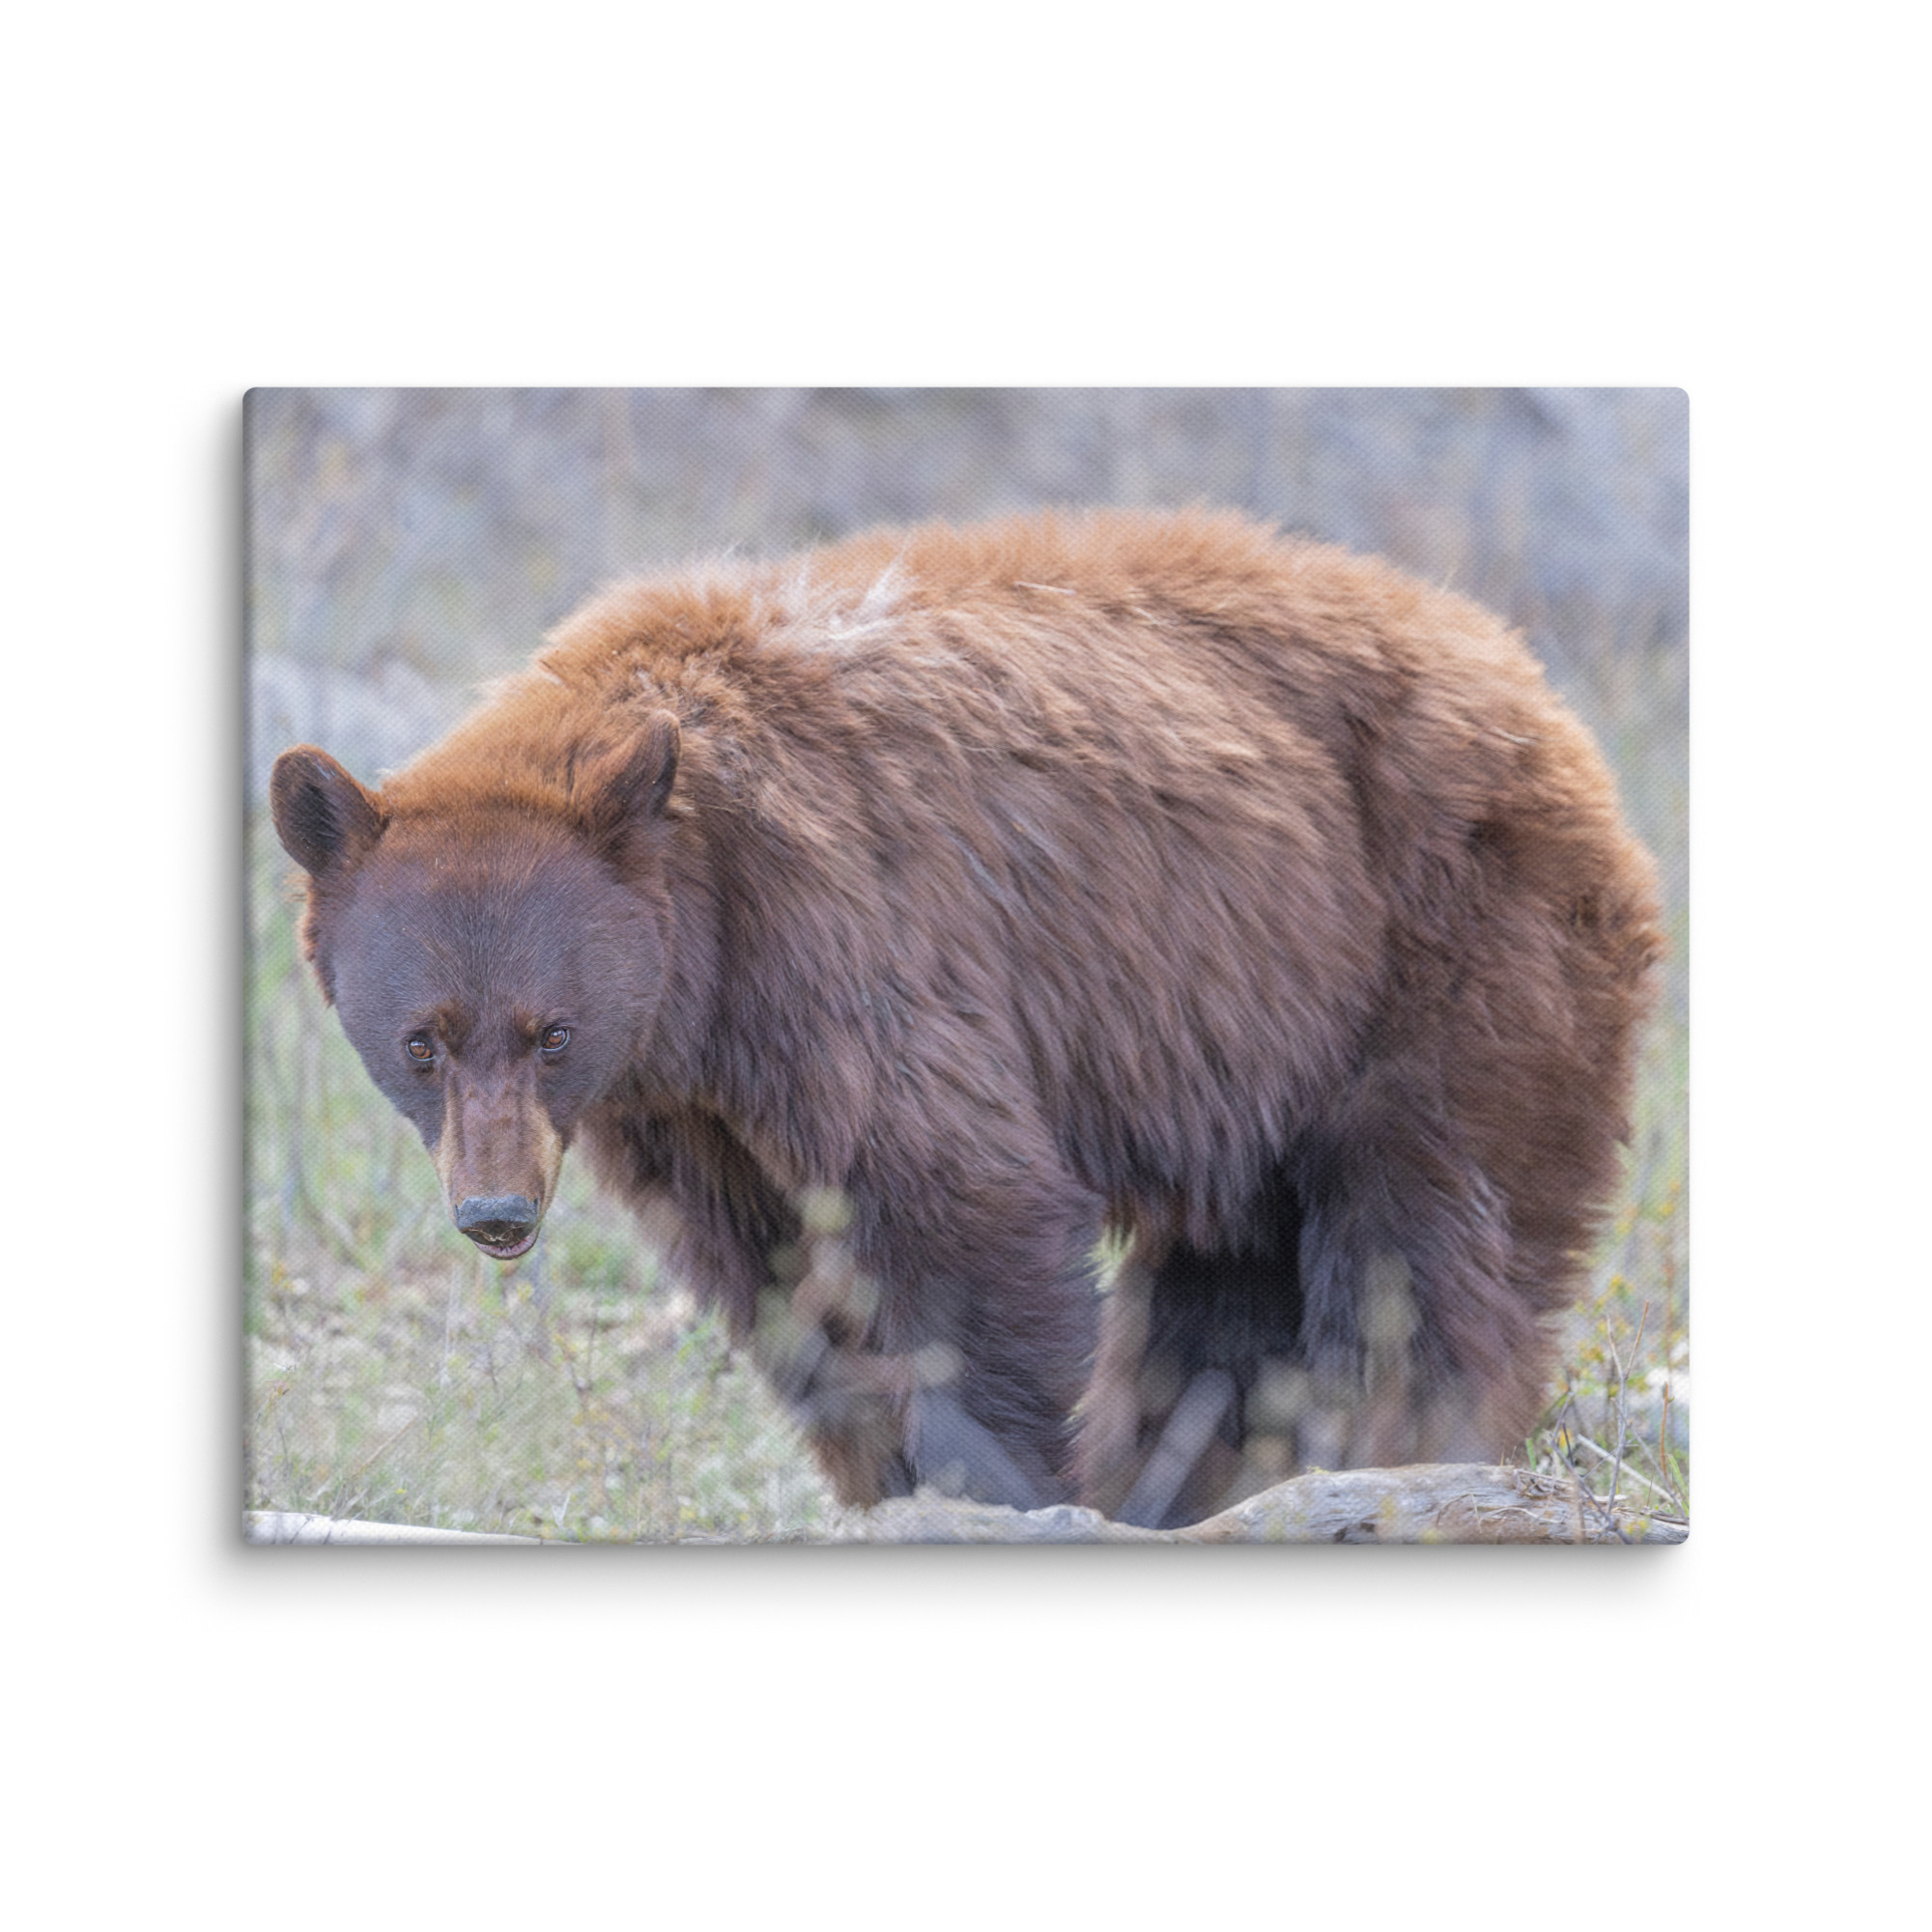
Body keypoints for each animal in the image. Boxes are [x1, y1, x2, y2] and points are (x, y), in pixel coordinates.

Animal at [269, 508, 1662, 1528]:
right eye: (422, 1042)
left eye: (549, 1031)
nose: (496, 1213)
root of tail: (1530, 679)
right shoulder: (688, 1103)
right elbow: (779, 1273)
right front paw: (888, 1472)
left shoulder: (848, 939)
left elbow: (959, 1206)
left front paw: (997, 1482)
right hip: (1255, 1039)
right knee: (1228, 1281)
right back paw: (1198, 1472)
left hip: (1440, 946)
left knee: (1422, 1238)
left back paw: (1388, 1450)